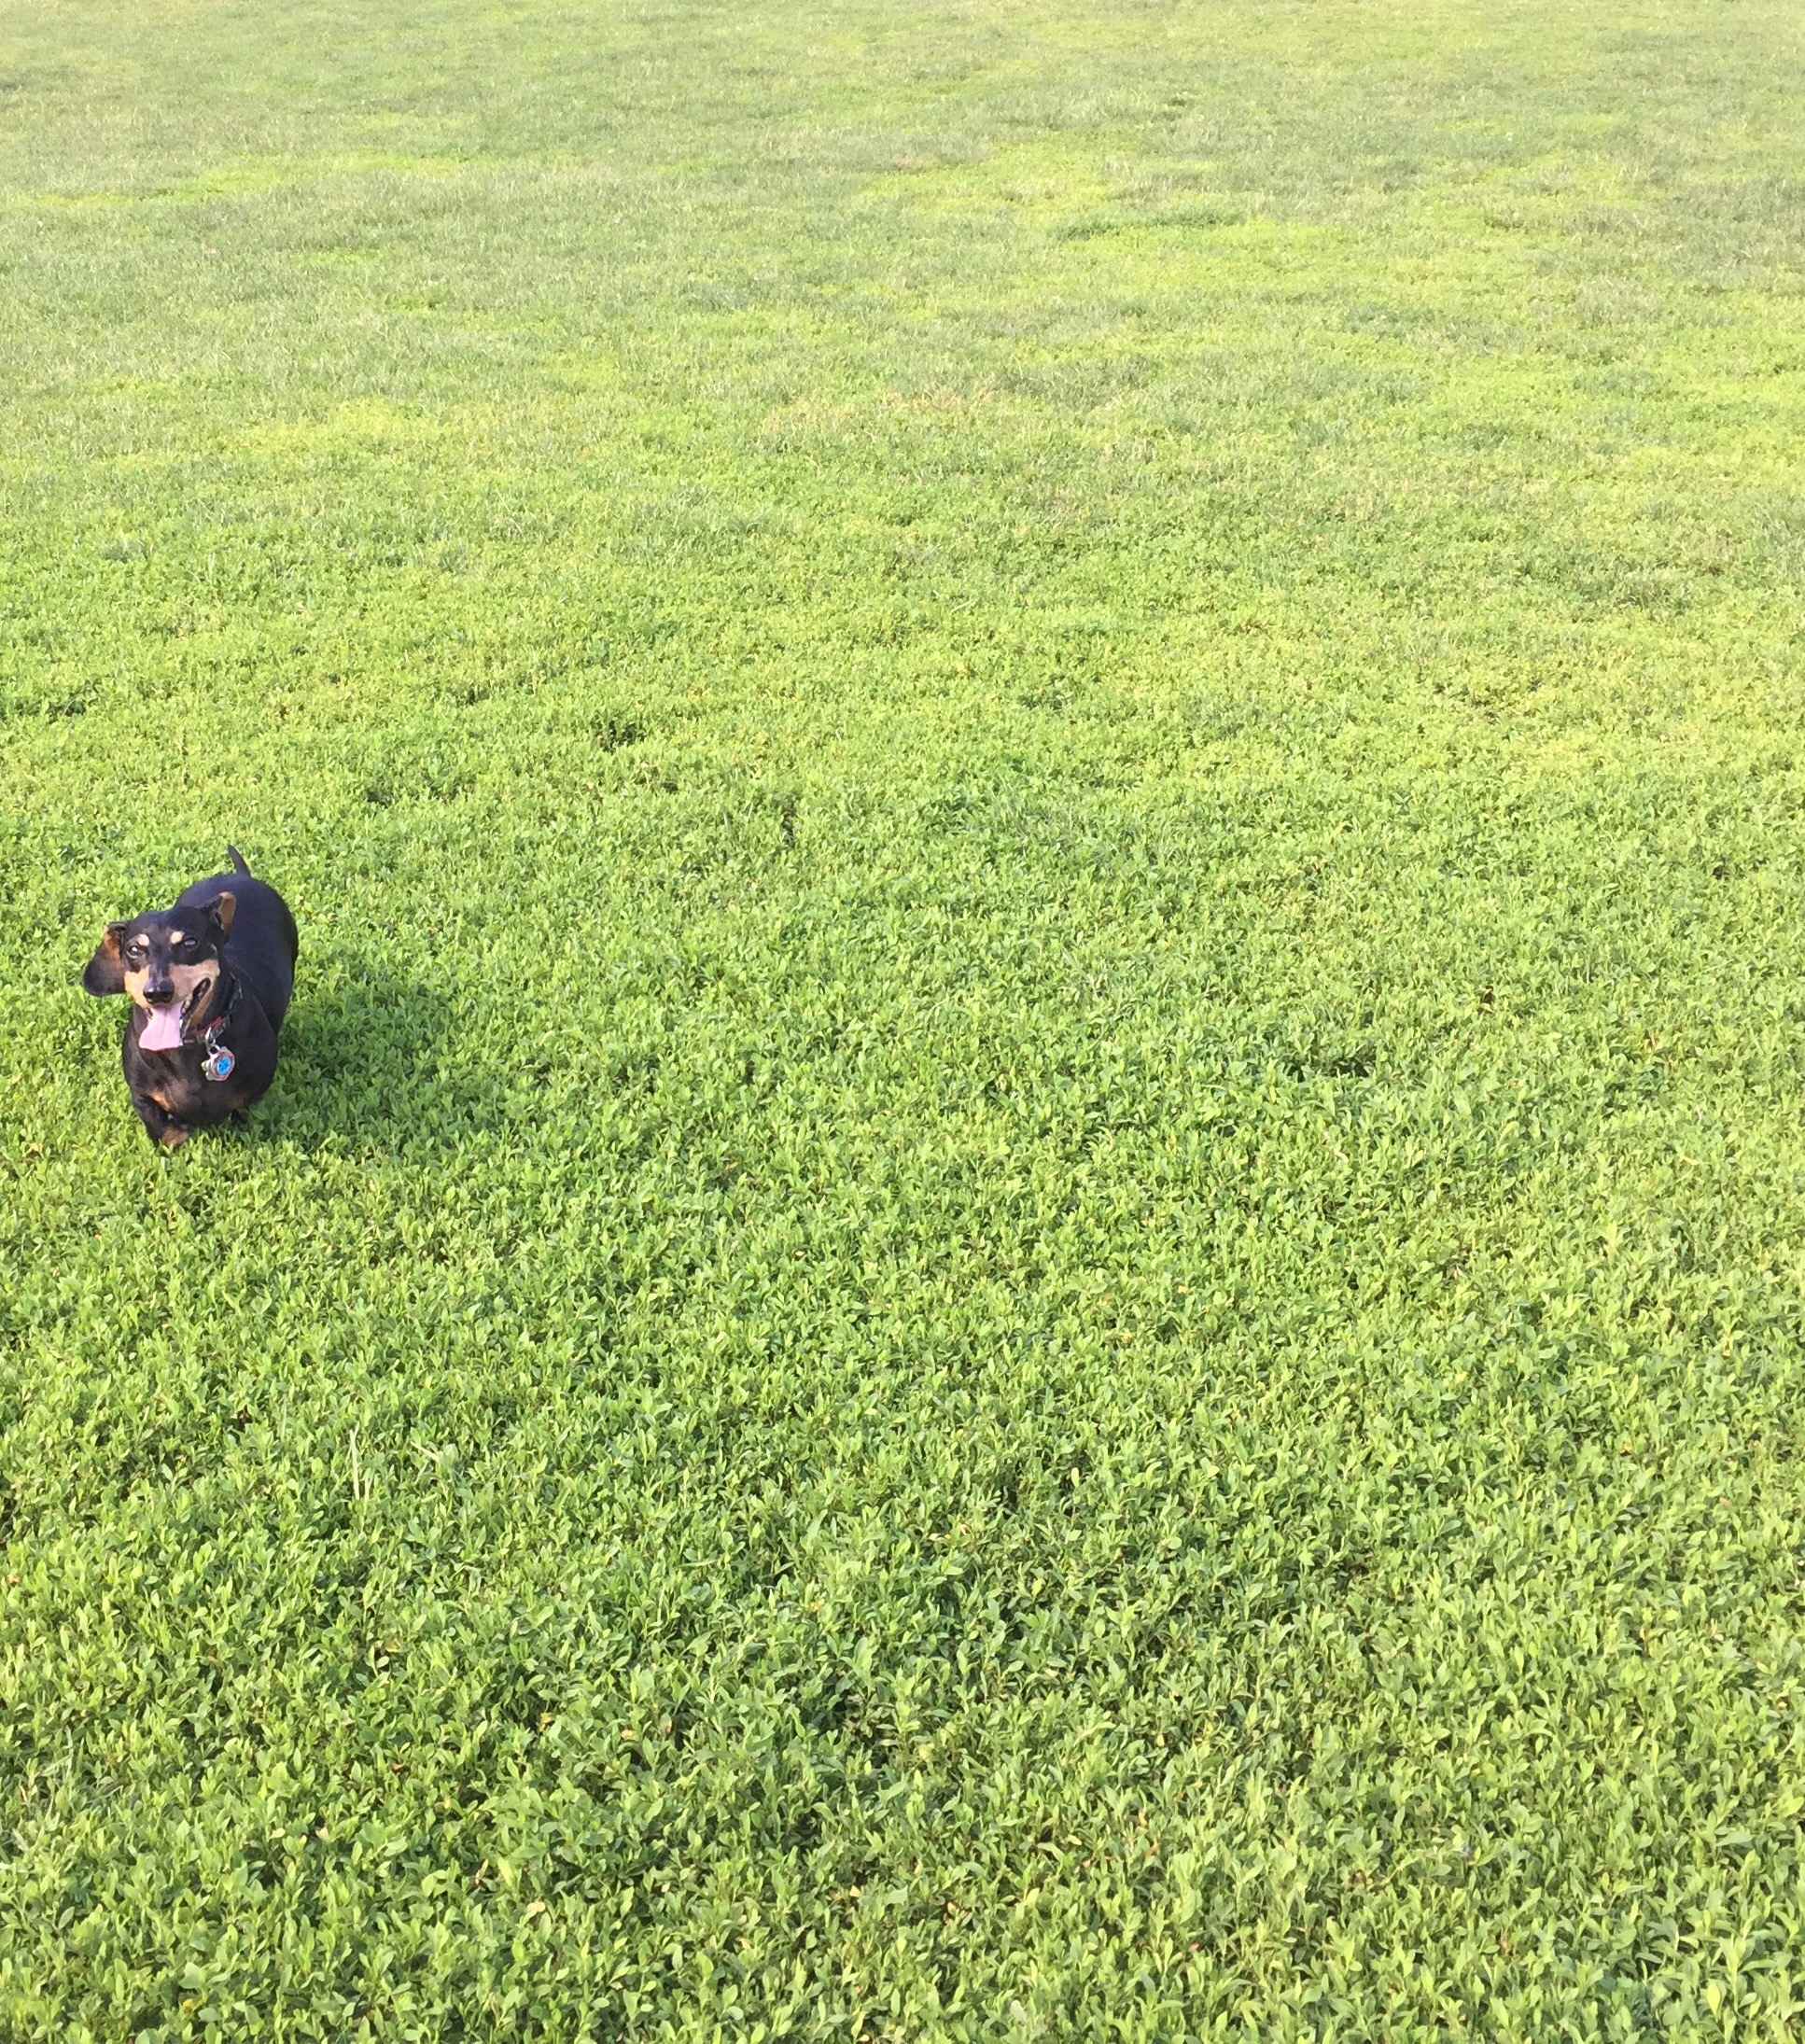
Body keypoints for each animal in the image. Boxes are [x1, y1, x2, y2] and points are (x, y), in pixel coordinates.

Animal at [82, 847, 299, 1149]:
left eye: (190, 942)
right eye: (134, 949)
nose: (157, 992)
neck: (186, 1049)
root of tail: (240, 876)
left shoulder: (254, 1094)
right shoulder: (141, 1095)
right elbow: (160, 1125)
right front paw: (177, 1136)